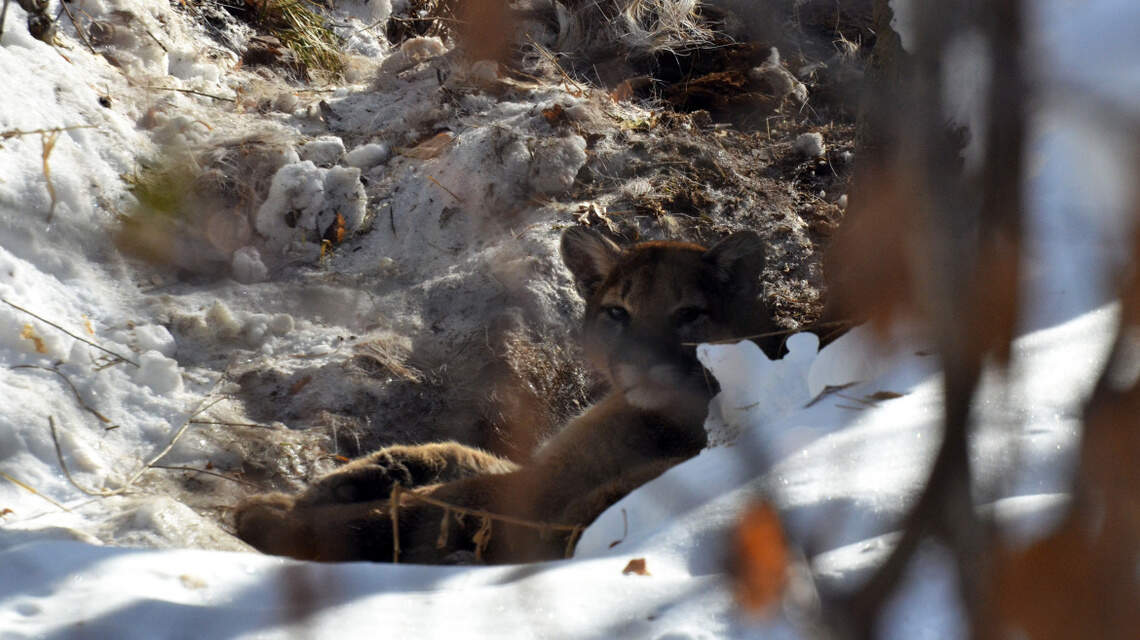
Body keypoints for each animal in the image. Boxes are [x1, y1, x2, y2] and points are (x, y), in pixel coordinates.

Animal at [234, 226, 777, 563]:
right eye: (617, 312)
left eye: (689, 314)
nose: (641, 361)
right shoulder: (540, 468)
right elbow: (460, 454)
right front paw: (362, 475)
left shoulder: (542, 488)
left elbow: (433, 503)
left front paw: (274, 515)